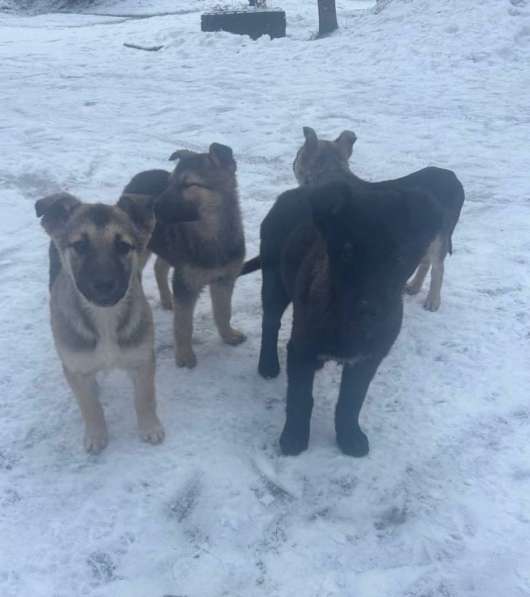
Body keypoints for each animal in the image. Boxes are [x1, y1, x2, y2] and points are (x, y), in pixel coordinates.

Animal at [36, 192, 164, 452]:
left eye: (123, 246)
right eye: (80, 245)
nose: (104, 285)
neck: (104, 318)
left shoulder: (142, 359)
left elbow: (144, 397)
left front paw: (149, 427)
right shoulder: (75, 367)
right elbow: (90, 406)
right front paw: (96, 435)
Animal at [121, 144, 245, 368]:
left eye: (189, 184)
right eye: (170, 183)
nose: (152, 206)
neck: (211, 233)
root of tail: (139, 176)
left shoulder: (224, 279)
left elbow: (224, 311)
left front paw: (228, 336)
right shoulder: (185, 286)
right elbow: (183, 325)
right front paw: (185, 356)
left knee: (159, 268)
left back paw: (166, 299)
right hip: (141, 247)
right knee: (137, 274)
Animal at [245, 182, 440, 456]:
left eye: (399, 258)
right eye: (347, 253)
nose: (369, 309)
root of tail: (291, 194)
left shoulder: (367, 359)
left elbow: (351, 401)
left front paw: (349, 437)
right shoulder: (301, 349)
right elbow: (300, 398)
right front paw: (294, 437)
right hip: (274, 280)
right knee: (270, 323)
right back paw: (268, 364)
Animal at [288, 126, 462, 312]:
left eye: (298, 155)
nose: (293, 163)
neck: (330, 172)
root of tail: (452, 176)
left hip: (441, 237)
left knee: (438, 268)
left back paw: (433, 301)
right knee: (426, 261)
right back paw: (414, 286)